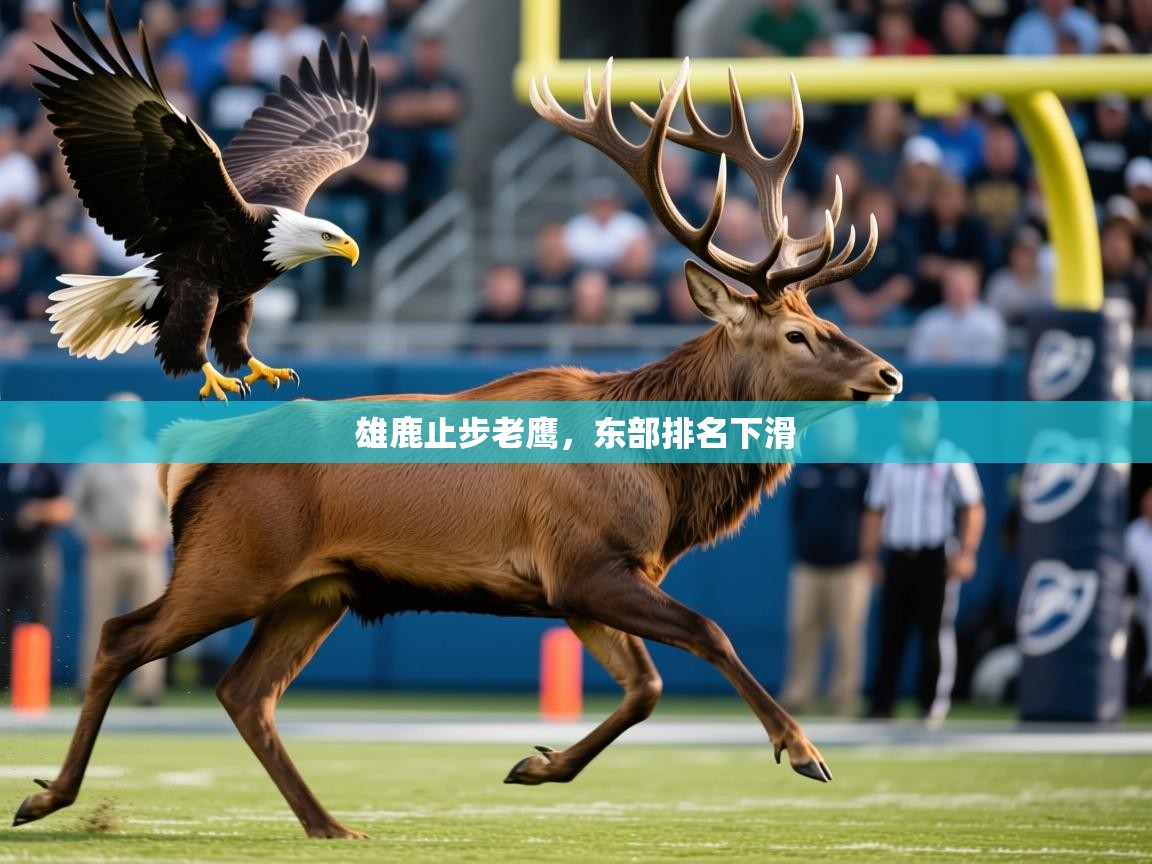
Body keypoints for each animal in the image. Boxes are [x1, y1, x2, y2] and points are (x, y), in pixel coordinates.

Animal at [13, 59, 902, 839]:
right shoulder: (584, 564)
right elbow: (709, 634)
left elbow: (645, 687)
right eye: (797, 333)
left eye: (825, 320)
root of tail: (187, 460)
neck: (665, 485)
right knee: (122, 638)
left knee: (245, 692)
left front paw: (536, 765)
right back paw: (48, 797)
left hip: (316, 591)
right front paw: (804, 750)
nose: (889, 373)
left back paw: (330, 824)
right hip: (233, 562)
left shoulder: (577, 588)